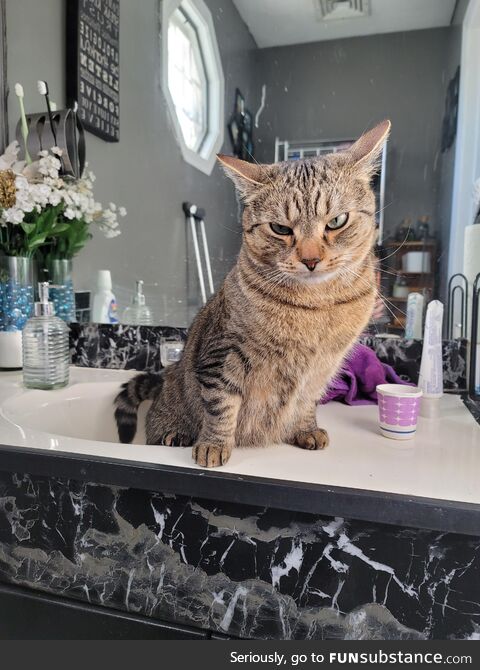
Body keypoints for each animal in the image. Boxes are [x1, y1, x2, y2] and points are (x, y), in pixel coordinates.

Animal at [114, 121, 392, 468]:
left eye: (337, 221)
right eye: (280, 229)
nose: (311, 260)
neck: (315, 307)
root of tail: (165, 377)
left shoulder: (322, 369)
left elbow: (306, 402)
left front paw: (306, 429)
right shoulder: (221, 355)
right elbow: (221, 406)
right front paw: (213, 445)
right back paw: (174, 432)